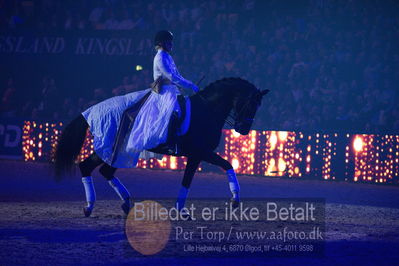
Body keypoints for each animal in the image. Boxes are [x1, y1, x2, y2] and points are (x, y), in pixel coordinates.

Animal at [54, 77, 268, 216]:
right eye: (251, 104)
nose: (244, 130)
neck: (207, 110)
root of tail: (92, 110)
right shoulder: (200, 152)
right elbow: (224, 166)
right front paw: (235, 199)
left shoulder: (197, 155)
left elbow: (190, 179)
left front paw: (181, 210)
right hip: (111, 149)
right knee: (88, 167)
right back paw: (90, 207)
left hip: (121, 151)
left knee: (104, 171)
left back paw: (126, 203)